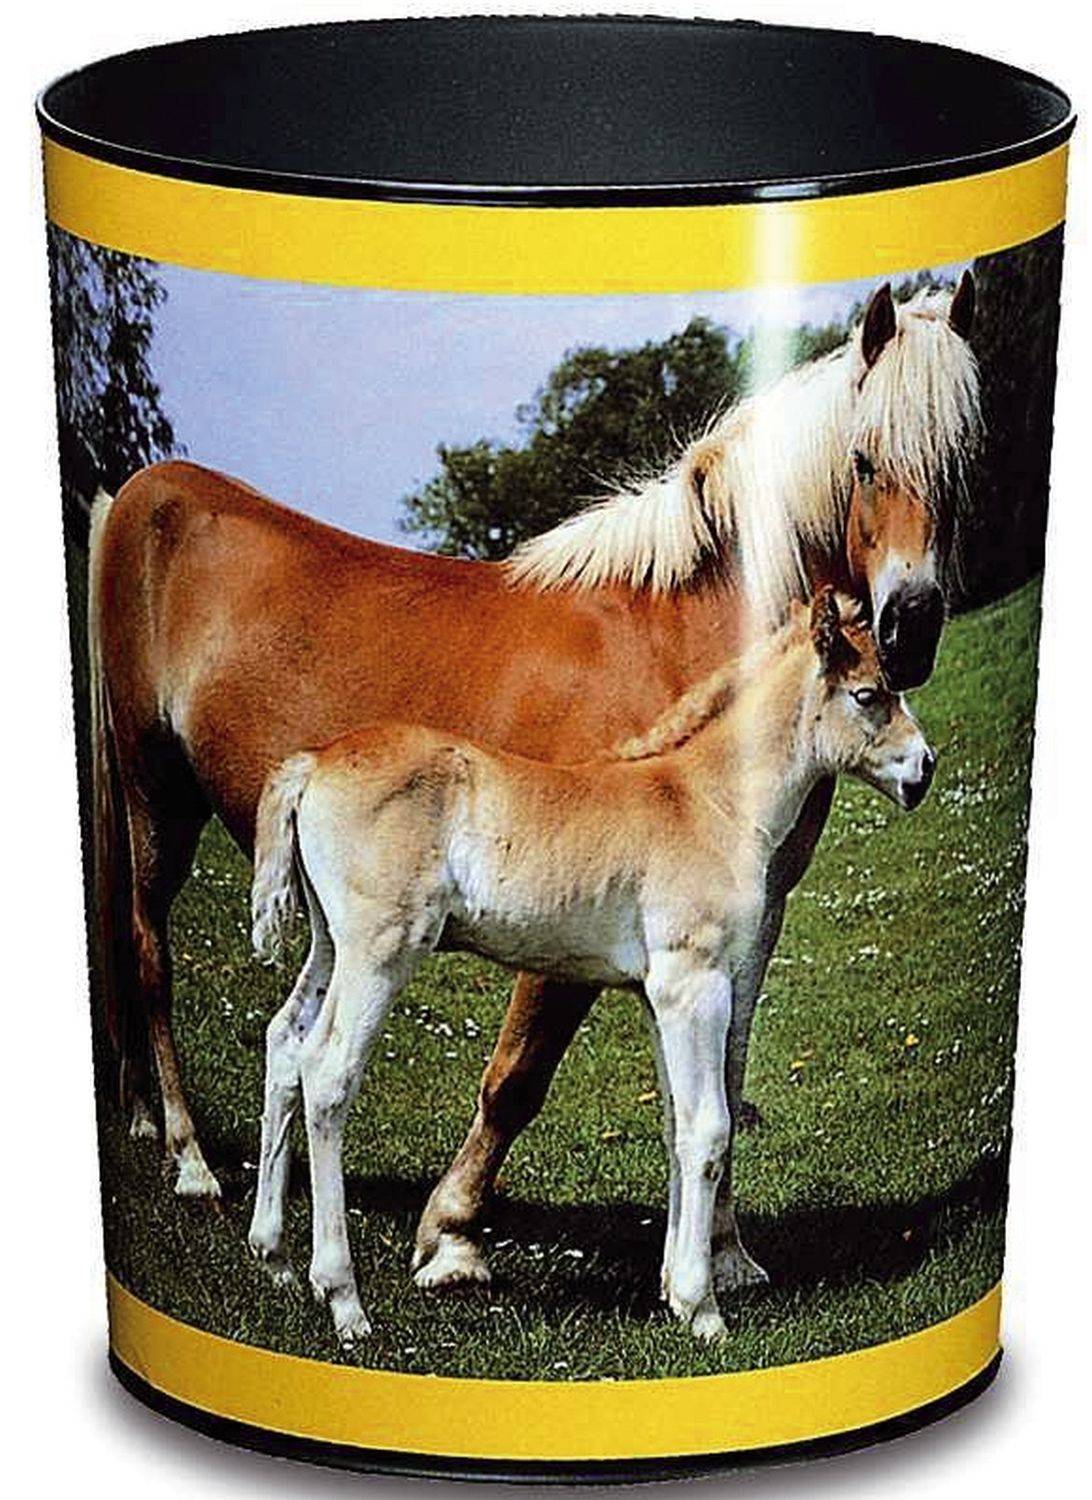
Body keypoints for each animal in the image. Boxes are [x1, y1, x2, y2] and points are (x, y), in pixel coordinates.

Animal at [86, 275, 977, 1212]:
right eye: (866, 461)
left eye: (961, 461)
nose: (912, 627)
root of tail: (136, 495)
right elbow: (519, 1077)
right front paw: (452, 1221)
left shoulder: (749, 921)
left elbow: (720, 1087)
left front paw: (723, 1241)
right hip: (157, 800)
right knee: (148, 954)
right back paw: (187, 1153)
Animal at [248, 587, 934, 1343]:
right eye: (869, 694)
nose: (924, 768)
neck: (707, 802)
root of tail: (313, 762)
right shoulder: (695, 984)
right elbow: (710, 1127)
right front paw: (702, 1307)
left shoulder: (657, 996)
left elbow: (675, 1124)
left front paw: (671, 1288)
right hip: (379, 950)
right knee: (327, 1074)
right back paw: (343, 1299)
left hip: (329, 945)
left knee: (285, 1044)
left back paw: (275, 1260)